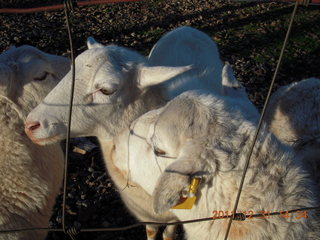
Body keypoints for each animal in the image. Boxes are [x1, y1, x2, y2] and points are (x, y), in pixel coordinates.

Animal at [24, 26, 228, 240]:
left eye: (106, 90)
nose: (31, 125)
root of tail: (187, 28)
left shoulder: (174, 216)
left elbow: (168, 233)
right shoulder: (144, 213)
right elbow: (151, 231)